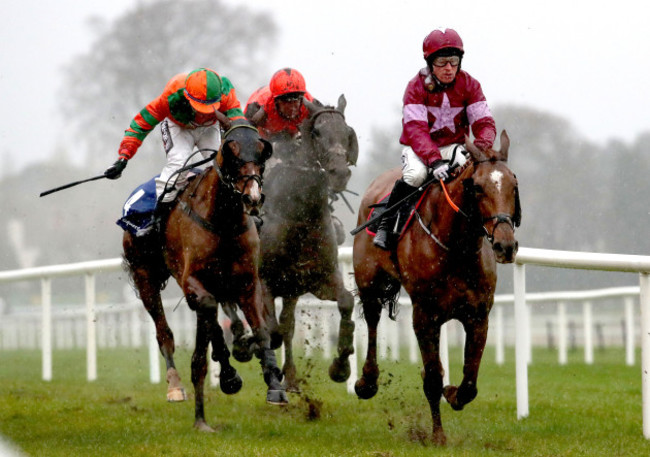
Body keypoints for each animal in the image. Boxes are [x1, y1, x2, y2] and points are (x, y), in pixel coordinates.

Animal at [123, 119, 284, 430]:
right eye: (232, 155)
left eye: (262, 153)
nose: (252, 197)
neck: (223, 220)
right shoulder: (192, 282)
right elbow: (209, 318)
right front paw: (228, 375)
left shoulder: (247, 282)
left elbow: (261, 329)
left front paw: (273, 381)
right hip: (144, 277)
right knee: (164, 332)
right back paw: (175, 384)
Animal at [221, 94, 354, 390]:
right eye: (317, 132)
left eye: (346, 132)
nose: (340, 173)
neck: (300, 215)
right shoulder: (265, 283)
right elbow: (271, 331)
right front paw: (250, 345)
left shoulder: (320, 278)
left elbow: (346, 302)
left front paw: (340, 366)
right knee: (231, 305)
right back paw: (242, 343)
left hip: (292, 289)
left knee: (287, 324)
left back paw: (290, 377)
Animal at [352, 130, 520, 444]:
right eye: (477, 188)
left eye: (513, 185)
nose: (505, 246)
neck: (457, 248)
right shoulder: (425, 315)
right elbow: (432, 377)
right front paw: (438, 435)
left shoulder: (478, 315)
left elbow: (469, 381)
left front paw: (452, 393)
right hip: (369, 282)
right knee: (371, 319)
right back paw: (366, 381)